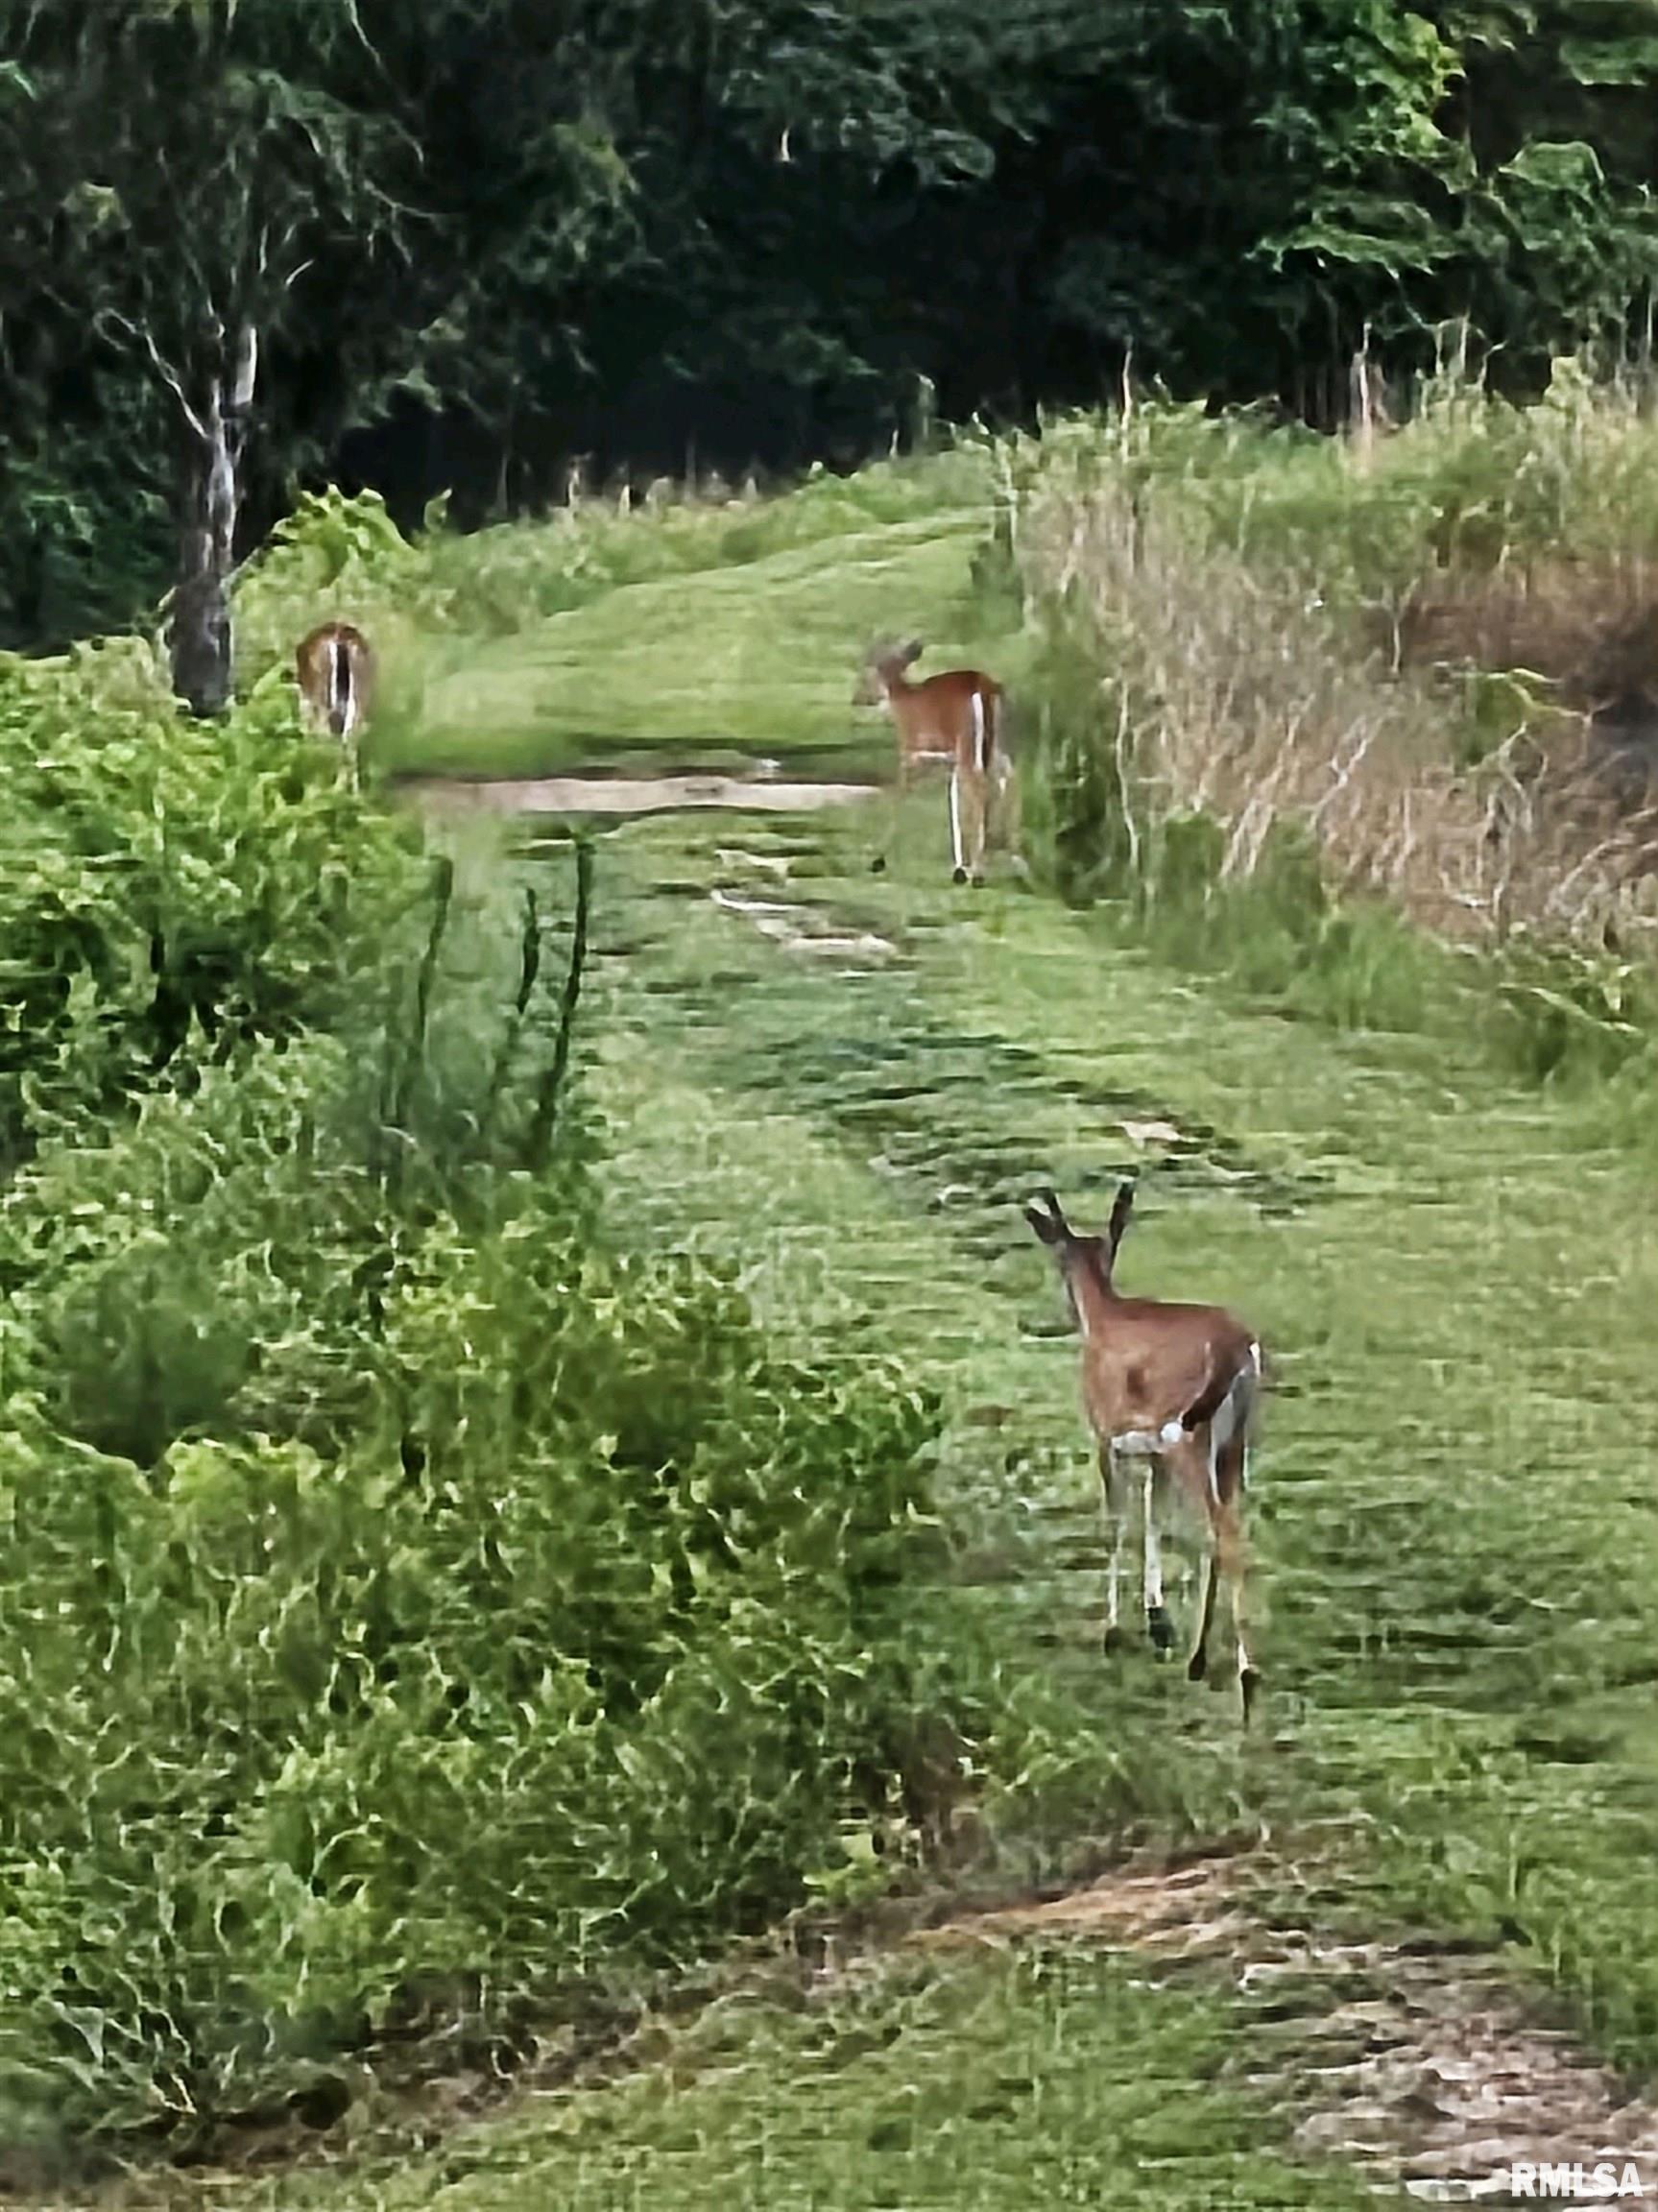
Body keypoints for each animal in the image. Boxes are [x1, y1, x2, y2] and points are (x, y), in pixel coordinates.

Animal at [298, 623, 380, 787]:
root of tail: (340, 640)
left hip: (322, 696)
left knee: (329, 734)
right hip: (361, 692)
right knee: (350, 735)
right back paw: (351, 789)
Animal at [857, 632, 1012, 879]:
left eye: (866, 672)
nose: (858, 698)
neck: (901, 698)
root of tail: (983, 687)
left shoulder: (910, 748)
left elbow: (899, 792)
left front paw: (878, 859)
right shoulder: (950, 760)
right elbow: (953, 798)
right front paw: (958, 865)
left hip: (967, 740)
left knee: (980, 785)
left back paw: (978, 871)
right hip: (993, 742)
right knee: (1002, 778)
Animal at [1025, 1185, 1273, 1716]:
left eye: (1057, 1257)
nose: (1064, 1308)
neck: (1105, 1317)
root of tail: (1238, 1351)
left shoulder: (1105, 1435)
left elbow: (1116, 1524)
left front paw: (1113, 1630)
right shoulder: (1155, 1453)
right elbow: (1154, 1516)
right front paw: (1158, 1623)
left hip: (1191, 1436)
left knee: (1222, 1533)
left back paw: (1245, 1673)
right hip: (1233, 1441)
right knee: (1225, 1529)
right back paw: (1200, 1660)